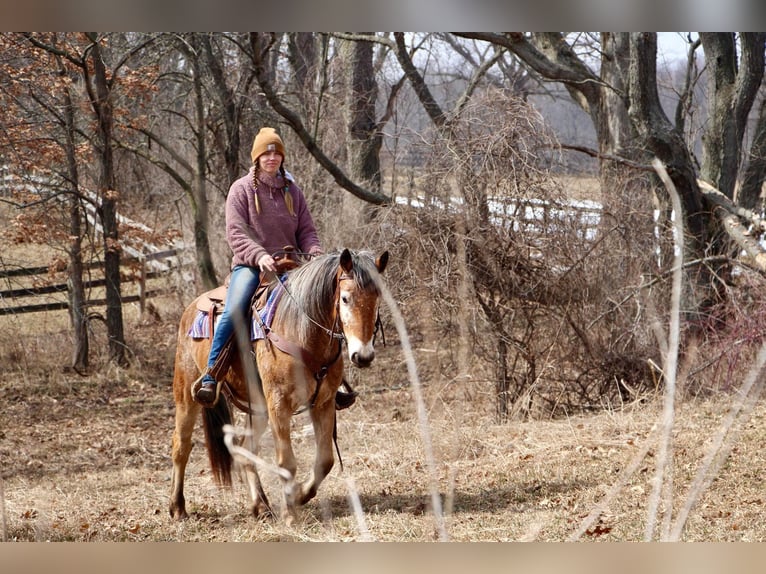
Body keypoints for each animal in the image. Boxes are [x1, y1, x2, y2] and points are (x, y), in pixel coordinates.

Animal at [169, 249, 390, 528]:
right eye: (345, 298)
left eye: (377, 297)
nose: (363, 356)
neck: (302, 331)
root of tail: (190, 309)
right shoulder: (279, 404)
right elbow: (287, 462)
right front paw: (290, 514)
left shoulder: (324, 403)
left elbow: (325, 460)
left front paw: (299, 495)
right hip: (187, 395)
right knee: (181, 446)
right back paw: (177, 508)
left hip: (259, 409)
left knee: (245, 448)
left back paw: (261, 506)